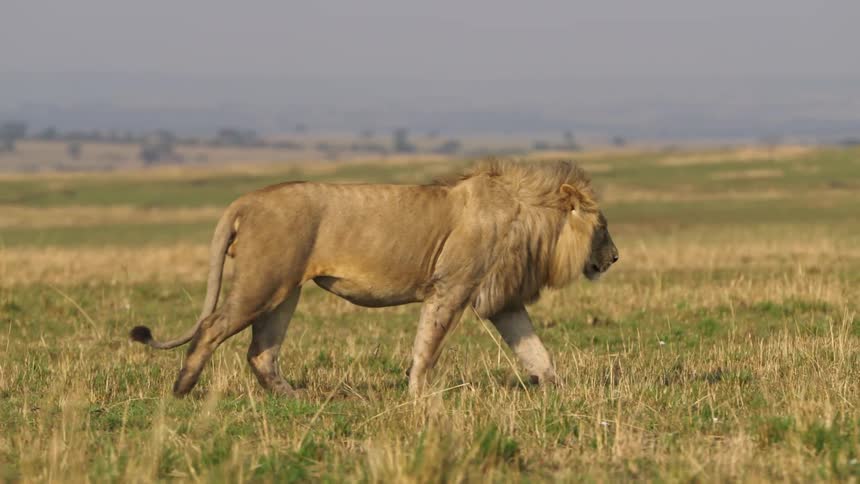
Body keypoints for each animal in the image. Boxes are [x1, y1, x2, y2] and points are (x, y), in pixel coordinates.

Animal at [130, 159, 619, 397]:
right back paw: (182, 389)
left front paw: (560, 392)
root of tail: (245, 200)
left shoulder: (504, 300)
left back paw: (296, 398)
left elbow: (536, 351)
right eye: (603, 227)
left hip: (285, 291)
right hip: (262, 283)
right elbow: (427, 347)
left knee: (261, 352)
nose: (614, 258)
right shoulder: (451, 288)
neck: (532, 220)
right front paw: (420, 396)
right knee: (212, 328)